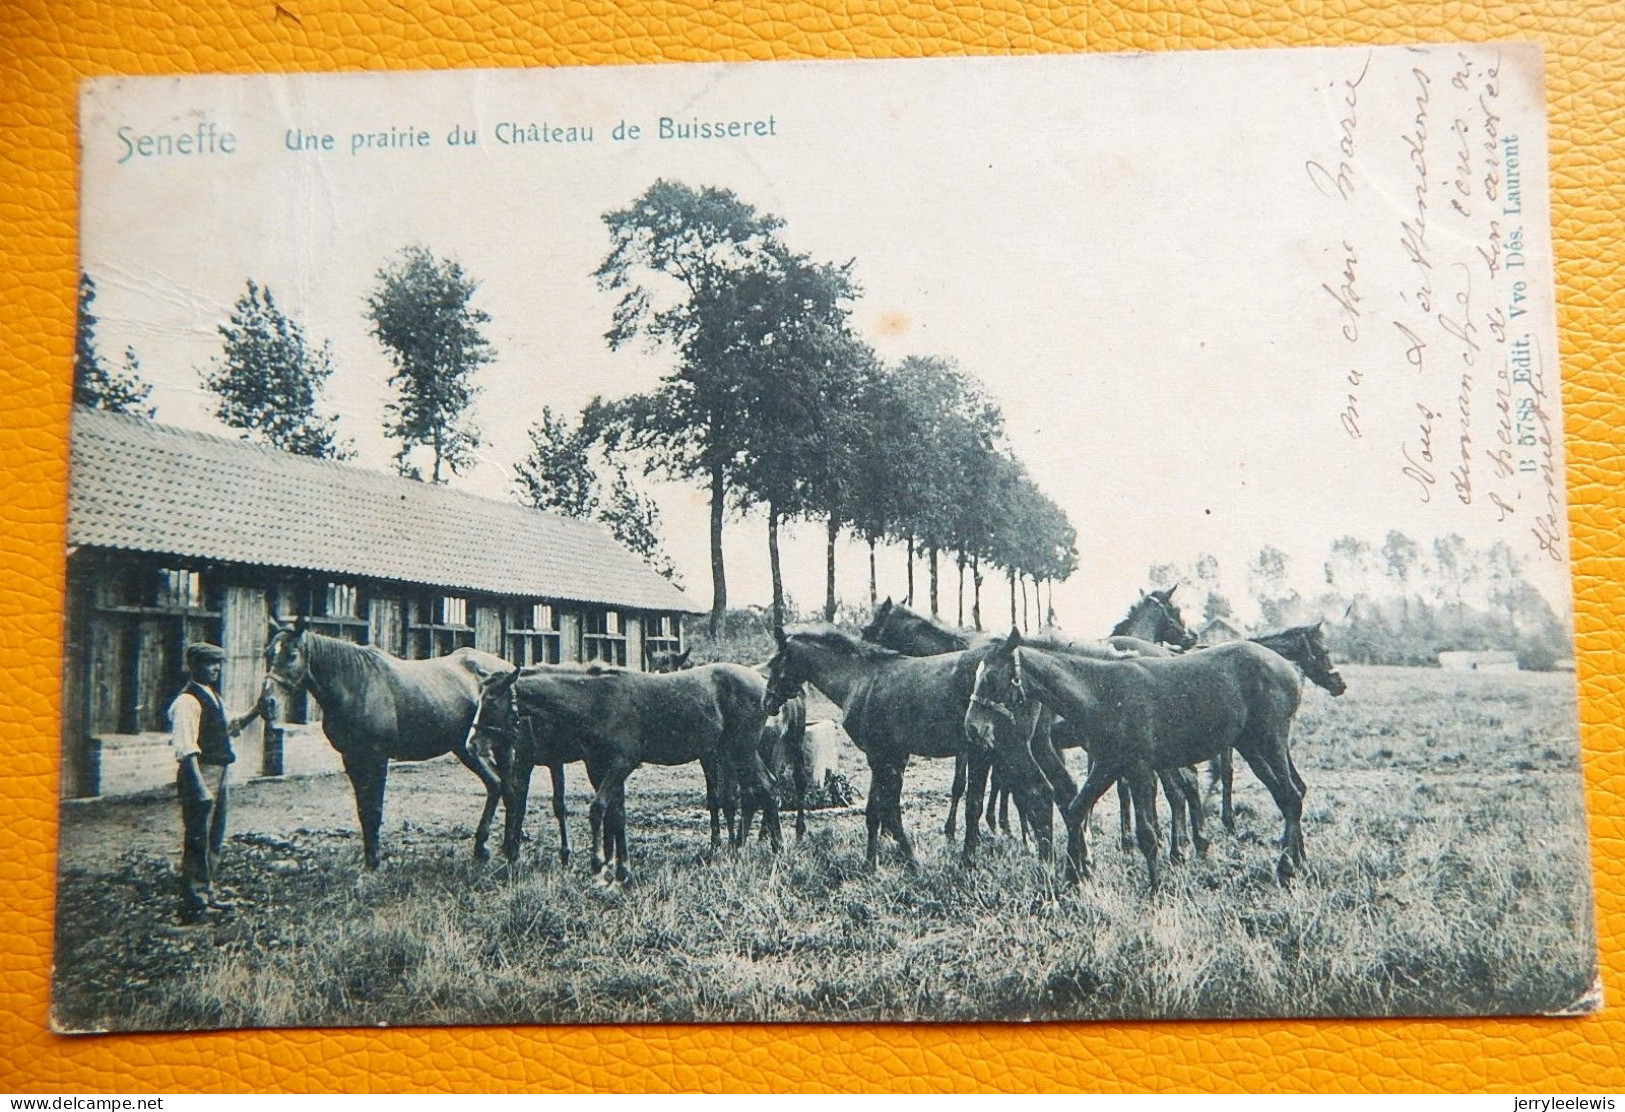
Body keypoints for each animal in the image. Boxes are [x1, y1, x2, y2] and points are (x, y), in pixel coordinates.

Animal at [260, 617, 507, 871]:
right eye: (268, 653)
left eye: (292, 654)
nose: (266, 703)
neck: (355, 685)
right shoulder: (351, 758)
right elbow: (363, 809)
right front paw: (370, 859)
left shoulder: (377, 757)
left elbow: (375, 809)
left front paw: (375, 861)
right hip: (465, 749)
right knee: (497, 784)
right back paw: (485, 848)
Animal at [474, 656, 776, 884]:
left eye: (491, 702)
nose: (475, 742)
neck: (597, 701)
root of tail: (761, 682)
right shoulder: (600, 766)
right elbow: (616, 815)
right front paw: (621, 870)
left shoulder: (622, 763)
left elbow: (598, 809)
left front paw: (598, 863)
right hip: (735, 752)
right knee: (764, 788)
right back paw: (761, 847)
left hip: (741, 750)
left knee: (764, 789)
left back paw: (774, 848)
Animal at [760, 617, 1053, 871]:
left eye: (774, 663)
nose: (767, 702)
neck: (861, 680)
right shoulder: (893, 756)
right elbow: (877, 810)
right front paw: (873, 861)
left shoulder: (880, 756)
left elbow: (887, 810)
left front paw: (906, 860)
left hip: (1007, 748)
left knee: (1033, 792)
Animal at [962, 630, 1306, 890]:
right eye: (976, 677)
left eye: (991, 679)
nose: (972, 727)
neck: (1102, 692)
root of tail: (1290, 668)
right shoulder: (1107, 765)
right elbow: (1075, 810)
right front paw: (1074, 874)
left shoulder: (1139, 769)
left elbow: (1146, 834)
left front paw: (1154, 887)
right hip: (1251, 747)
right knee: (1290, 794)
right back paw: (1298, 861)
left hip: (1270, 742)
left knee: (1290, 796)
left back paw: (1286, 868)